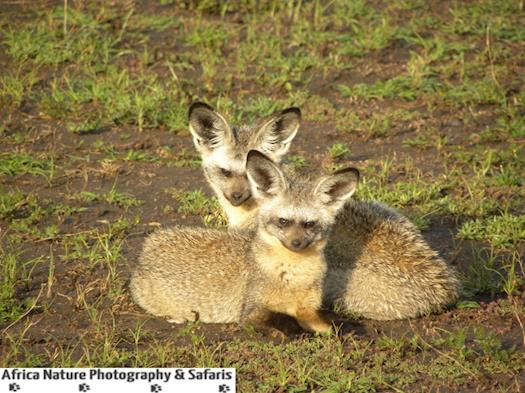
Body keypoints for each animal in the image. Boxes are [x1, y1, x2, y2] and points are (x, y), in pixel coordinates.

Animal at [128, 150, 358, 330]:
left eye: (309, 224)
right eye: (283, 221)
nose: (296, 243)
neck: (292, 276)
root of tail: (148, 245)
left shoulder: (309, 307)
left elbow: (327, 323)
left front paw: (345, 326)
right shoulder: (251, 312)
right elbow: (281, 321)